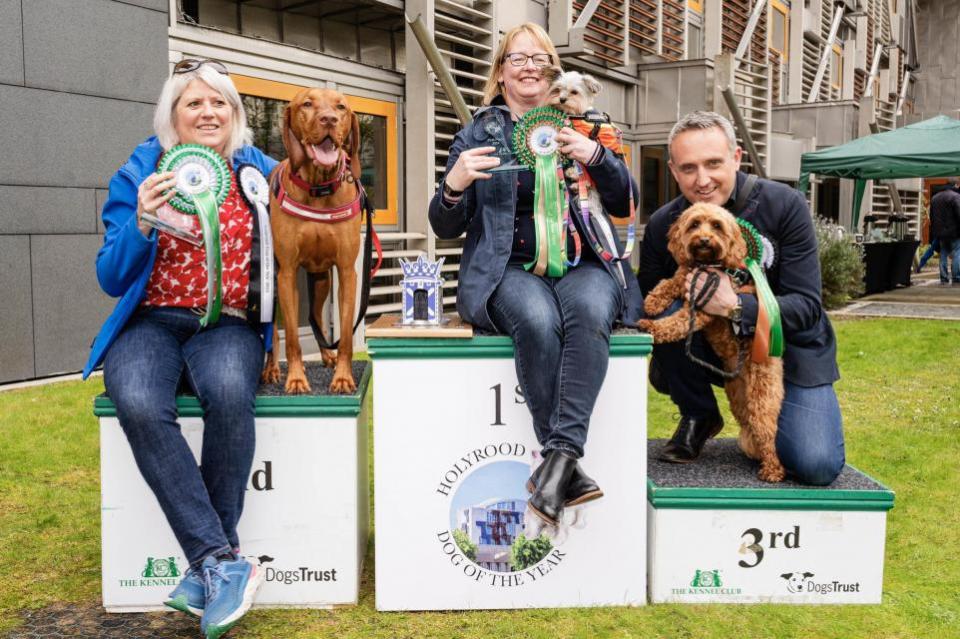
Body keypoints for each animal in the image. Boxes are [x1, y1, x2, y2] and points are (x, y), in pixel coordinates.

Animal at [262, 87, 364, 392]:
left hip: (321, 281)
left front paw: (342, 377)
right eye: (307, 104)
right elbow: (293, 338)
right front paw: (296, 379)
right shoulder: (286, 273)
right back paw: (271, 369)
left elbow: (344, 335)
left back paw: (326, 356)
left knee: (316, 316)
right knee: (274, 332)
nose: (329, 119)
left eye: (341, 107)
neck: (318, 188)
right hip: (273, 283)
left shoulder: (346, 271)